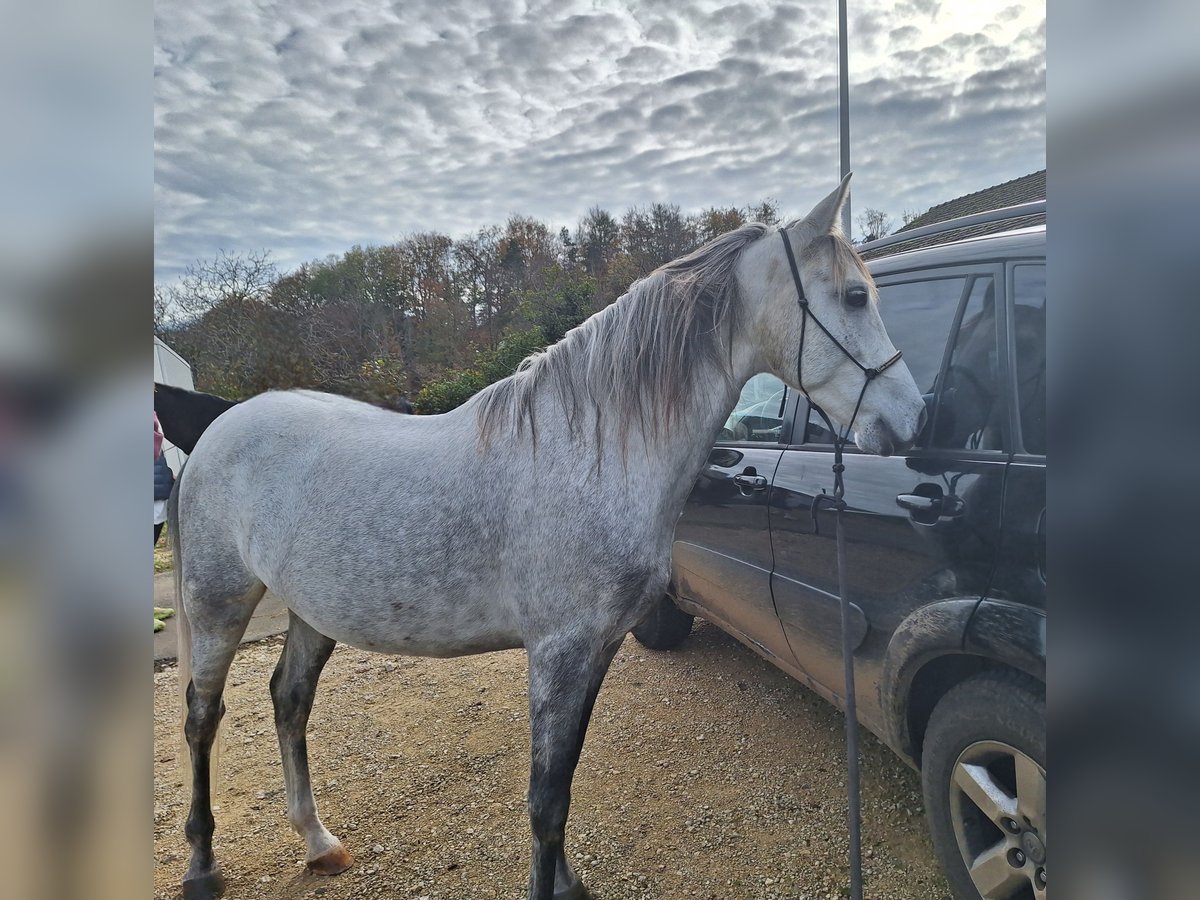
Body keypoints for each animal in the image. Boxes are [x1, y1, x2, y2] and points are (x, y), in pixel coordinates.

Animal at [169, 177, 921, 900]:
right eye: (855, 296)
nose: (911, 420)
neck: (590, 453)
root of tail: (219, 426)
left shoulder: (598, 647)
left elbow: (564, 783)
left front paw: (568, 882)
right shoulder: (559, 650)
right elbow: (544, 800)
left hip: (312, 610)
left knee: (289, 701)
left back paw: (318, 843)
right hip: (218, 600)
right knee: (203, 716)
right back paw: (201, 867)